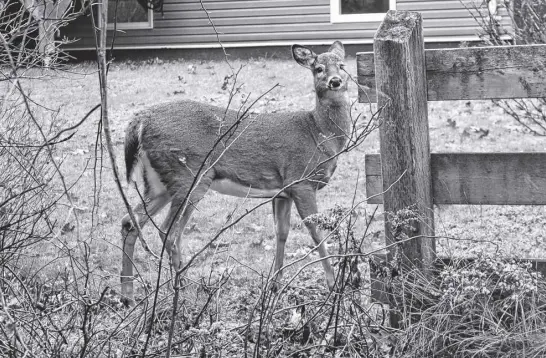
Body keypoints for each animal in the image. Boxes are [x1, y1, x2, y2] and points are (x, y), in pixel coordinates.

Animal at [120, 42, 348, 304]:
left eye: (343, 65)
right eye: (318, 68)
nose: (335, 81)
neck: (319, 133)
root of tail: (140, 121)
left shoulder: (283, 191)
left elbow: (281, 232)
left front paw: (275, 285)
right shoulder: (301, 180)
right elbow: (317, 233)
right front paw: (333, 285)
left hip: (158, 181)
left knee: (130, 221)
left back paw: (127, 295)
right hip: (189, 175)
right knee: (168, 230)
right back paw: (182, 289)